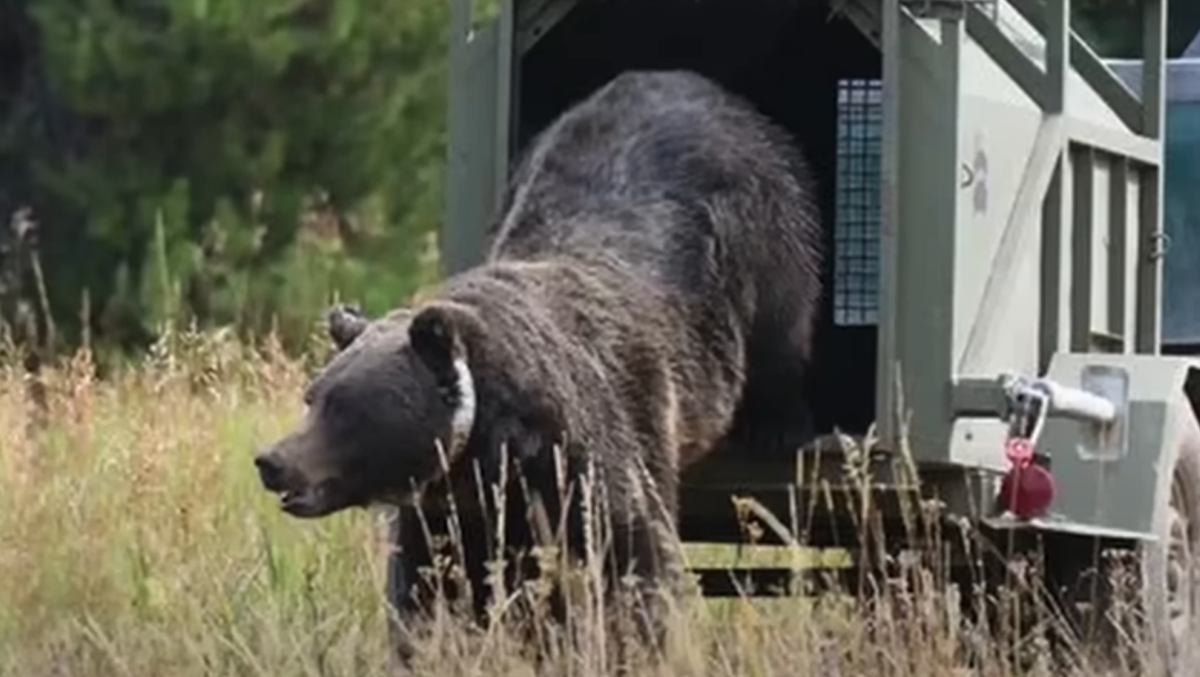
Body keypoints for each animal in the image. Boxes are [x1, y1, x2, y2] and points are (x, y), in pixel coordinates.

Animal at [248, 68, 820, 662]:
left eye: (344, 407)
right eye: (312, 396)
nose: (272, 460)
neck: (491, 446)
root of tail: (693, 82)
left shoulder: (590, 453)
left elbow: (632, 561)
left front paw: (633, 644)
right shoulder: (453, 511)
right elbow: (426, 590)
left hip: (762, 224)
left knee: (783, 325)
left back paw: (778, 424)